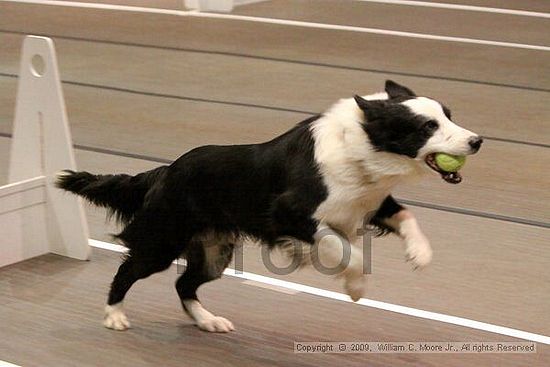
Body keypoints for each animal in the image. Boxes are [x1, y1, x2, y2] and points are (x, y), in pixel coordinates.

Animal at [57, 80, 484, 334]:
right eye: (427, 126)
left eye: (448, 115)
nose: (477, 141)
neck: (361, 145)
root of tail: (165, 171)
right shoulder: (288, 213)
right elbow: (350, 250)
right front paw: (355, 287)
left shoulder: (368, 200)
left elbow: (405, 214)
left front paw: (420, 254)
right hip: (164, 238)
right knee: (129, 268)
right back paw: (114, 315)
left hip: (214, 251)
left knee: (184, 283)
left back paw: (209, 321)